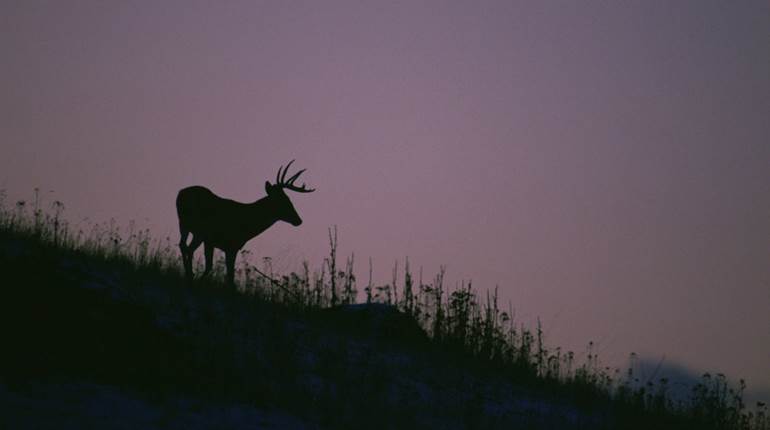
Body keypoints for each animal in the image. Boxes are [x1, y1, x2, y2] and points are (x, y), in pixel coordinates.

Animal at [176, 160, 315, 286]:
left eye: (289, 199)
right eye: (283, 200)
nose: (299, 220)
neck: (247, 223)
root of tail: (180, 192)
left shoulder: (226, 245)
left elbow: (222, 271)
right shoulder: (221, 242)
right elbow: (221, 271)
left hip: (185, 225)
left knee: (183, 245)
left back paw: (189, 273)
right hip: (196, 229)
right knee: (187, 248)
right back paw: (190, 274)